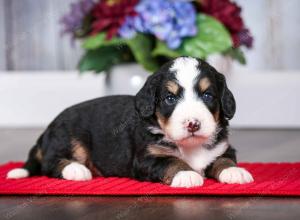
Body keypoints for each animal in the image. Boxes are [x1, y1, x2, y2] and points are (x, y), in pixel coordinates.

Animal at [6, 56, 253, 187]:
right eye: (170, 98)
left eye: (208, 95)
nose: (193, 123)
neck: (189, 146)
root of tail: (48, 128)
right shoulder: (147, 158)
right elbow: (171, 161)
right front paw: (186, 174)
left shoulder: (224, 147)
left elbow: (224, 159)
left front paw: (234, 172)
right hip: (69, 137)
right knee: (50, 163)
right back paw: (76, 170)